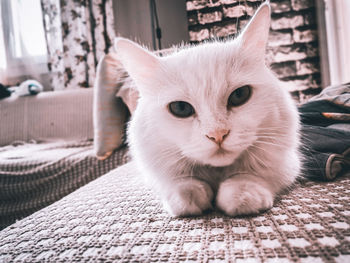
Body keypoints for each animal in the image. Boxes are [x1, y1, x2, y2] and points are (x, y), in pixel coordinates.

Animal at [115, 2, 300, 217]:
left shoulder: (289, 161)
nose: (217, 135)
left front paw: (243, 193)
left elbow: (256, 174)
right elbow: (178, 181)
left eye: (239, 95)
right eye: (180, 108)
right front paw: (187, 196)